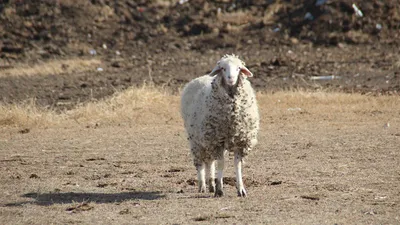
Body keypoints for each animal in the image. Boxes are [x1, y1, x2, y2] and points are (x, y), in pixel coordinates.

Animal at [181, 54, 260, 197]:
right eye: (223, 68)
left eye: (238, 68)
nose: (231, 78)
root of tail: (200, 77)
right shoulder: (218, 141)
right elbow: (221, 164)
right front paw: (220, 190)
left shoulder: (240, 141)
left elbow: (237, 165)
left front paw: (240, 189)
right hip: (196, 139)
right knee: (200, 163)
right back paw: (202, 185)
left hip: (207, 139)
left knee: (210, 162)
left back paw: (211, 184)